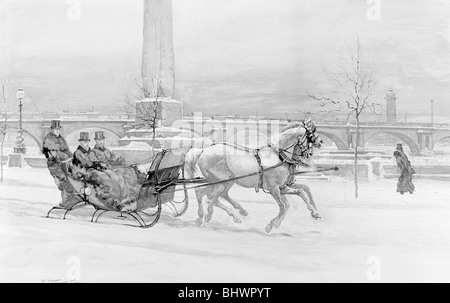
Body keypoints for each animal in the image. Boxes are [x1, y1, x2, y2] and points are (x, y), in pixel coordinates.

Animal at [184, 118, 324, 233]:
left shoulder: (283, 187)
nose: (321, 142)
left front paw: (315, 212)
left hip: (224, 182)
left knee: (207, 195)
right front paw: (271, 225)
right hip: (221, 182)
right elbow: (283, 206)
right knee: (210, 198)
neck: (278, 155)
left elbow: (300, 193)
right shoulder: (274, 189)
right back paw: (216, 215)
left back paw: (208, 216)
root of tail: (203, 150)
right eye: (311, 135)